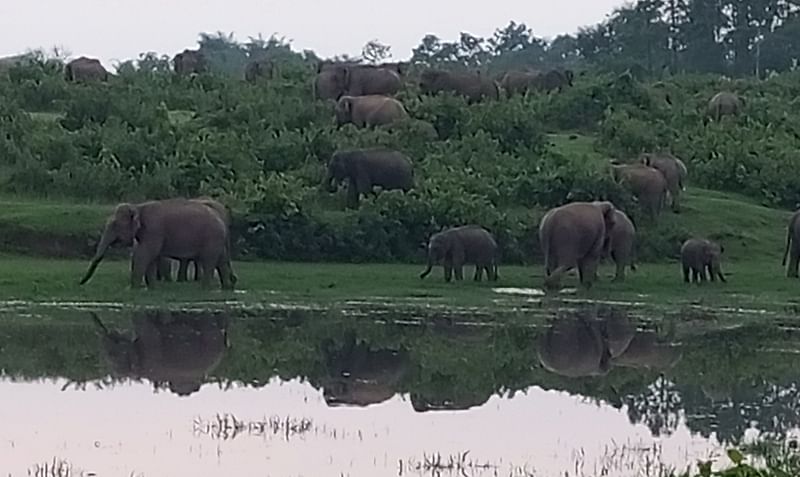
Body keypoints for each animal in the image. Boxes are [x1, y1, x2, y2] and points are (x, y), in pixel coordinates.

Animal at [80, 198, 236, 290]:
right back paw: (226, 288)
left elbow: (145, 254)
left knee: (209, 261)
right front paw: (151, 288)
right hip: (217, 240)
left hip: (211, 238)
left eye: (115, 225)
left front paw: (132, 289)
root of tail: (221, 218)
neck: (138, 207)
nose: (80, 283)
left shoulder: (153, 229)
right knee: (221, 260)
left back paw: (205, 288)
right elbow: (151, 257)